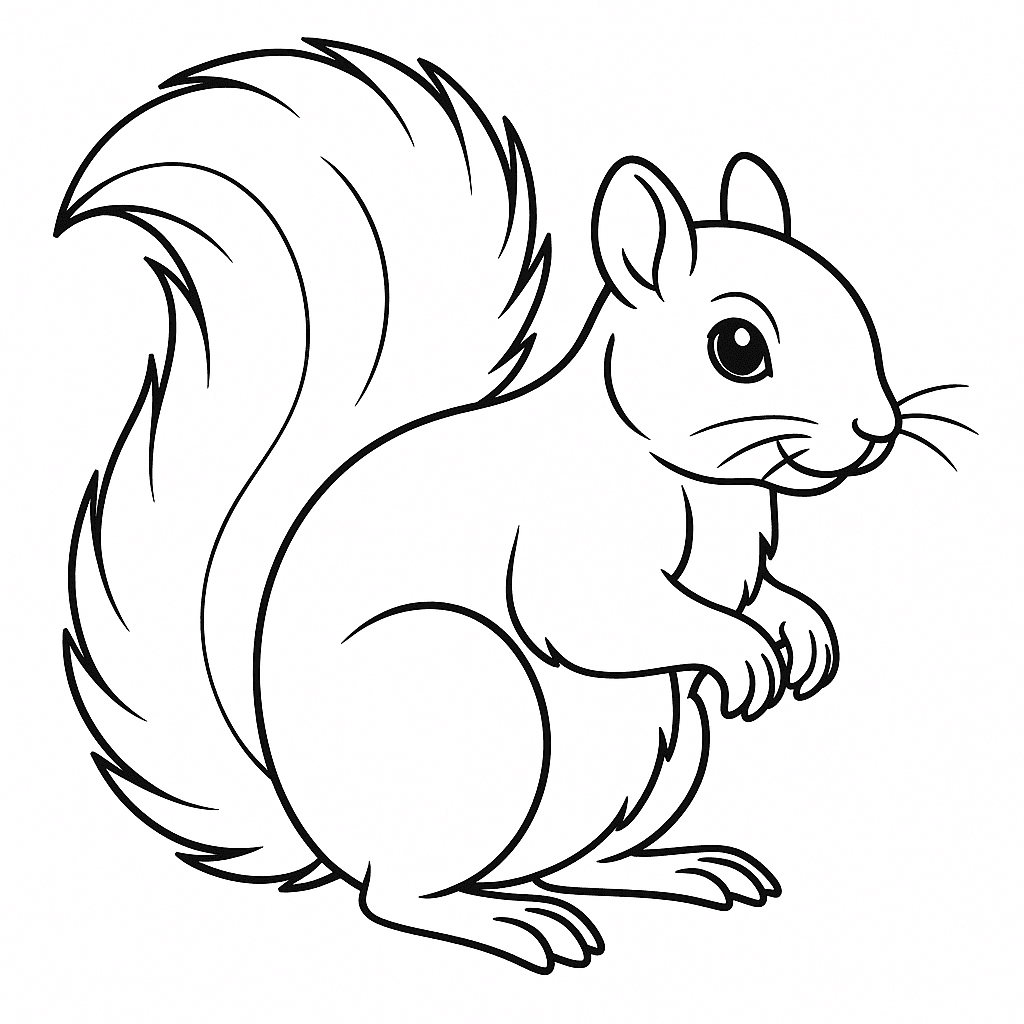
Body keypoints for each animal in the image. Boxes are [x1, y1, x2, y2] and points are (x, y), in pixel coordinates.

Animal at [59, 40, 907, 973]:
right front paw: (745, 649)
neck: (702, 482)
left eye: (855, 308)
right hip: (467, 698)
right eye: (739, 347)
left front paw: (802, 629)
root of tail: (312, 823)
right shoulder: (572, 533)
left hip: (664, 747)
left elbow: (758, 592)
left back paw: (671, 867)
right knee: (396, 898)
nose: (877, 430)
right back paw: (509, 921)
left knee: (579, 860)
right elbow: (594, 614)